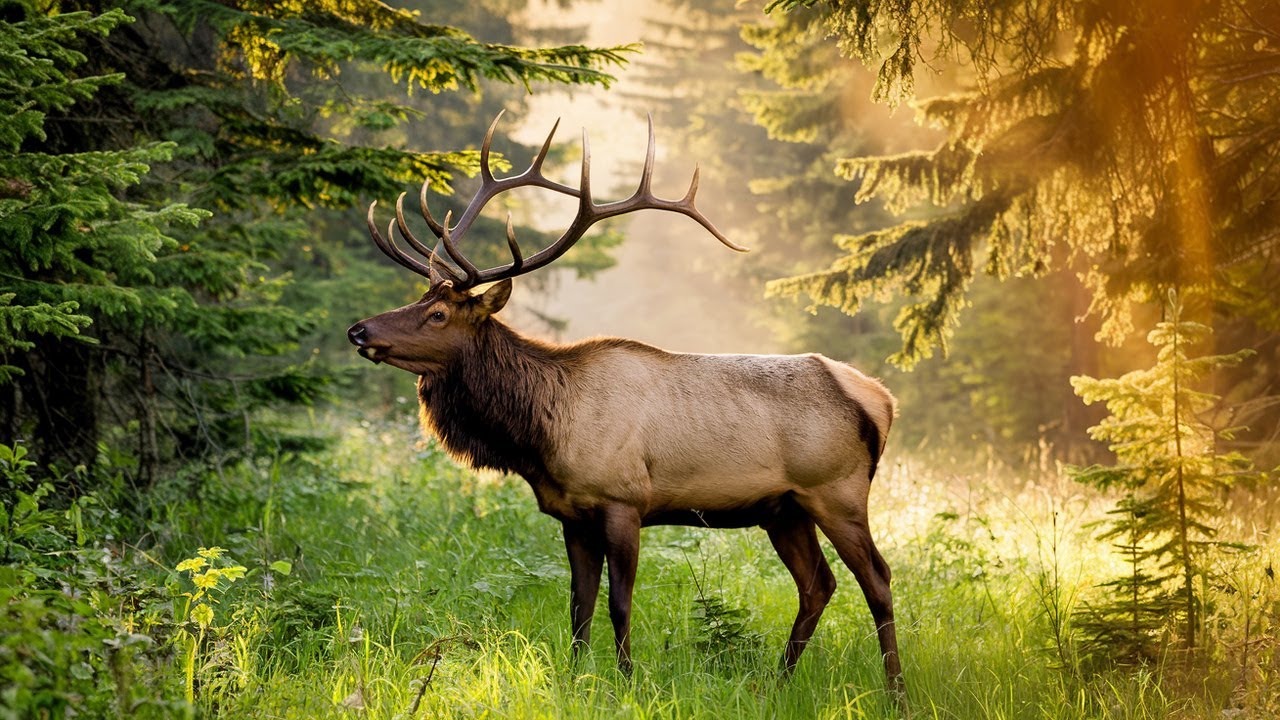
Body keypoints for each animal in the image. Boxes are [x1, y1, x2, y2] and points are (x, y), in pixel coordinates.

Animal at [347, 113, 903, 695]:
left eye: (439, 315)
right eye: (419, 300)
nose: (358, 330)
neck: (540, 435)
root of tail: (881, 400)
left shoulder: (623, 501)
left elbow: (619, 605)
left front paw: (628, 680)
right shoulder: (572, 516)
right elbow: (578, 607)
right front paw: (575, 680)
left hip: (836, 490)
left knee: (878, 578)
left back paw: (895, 691)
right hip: (784, 508)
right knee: (818, 583)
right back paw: (779, 681)